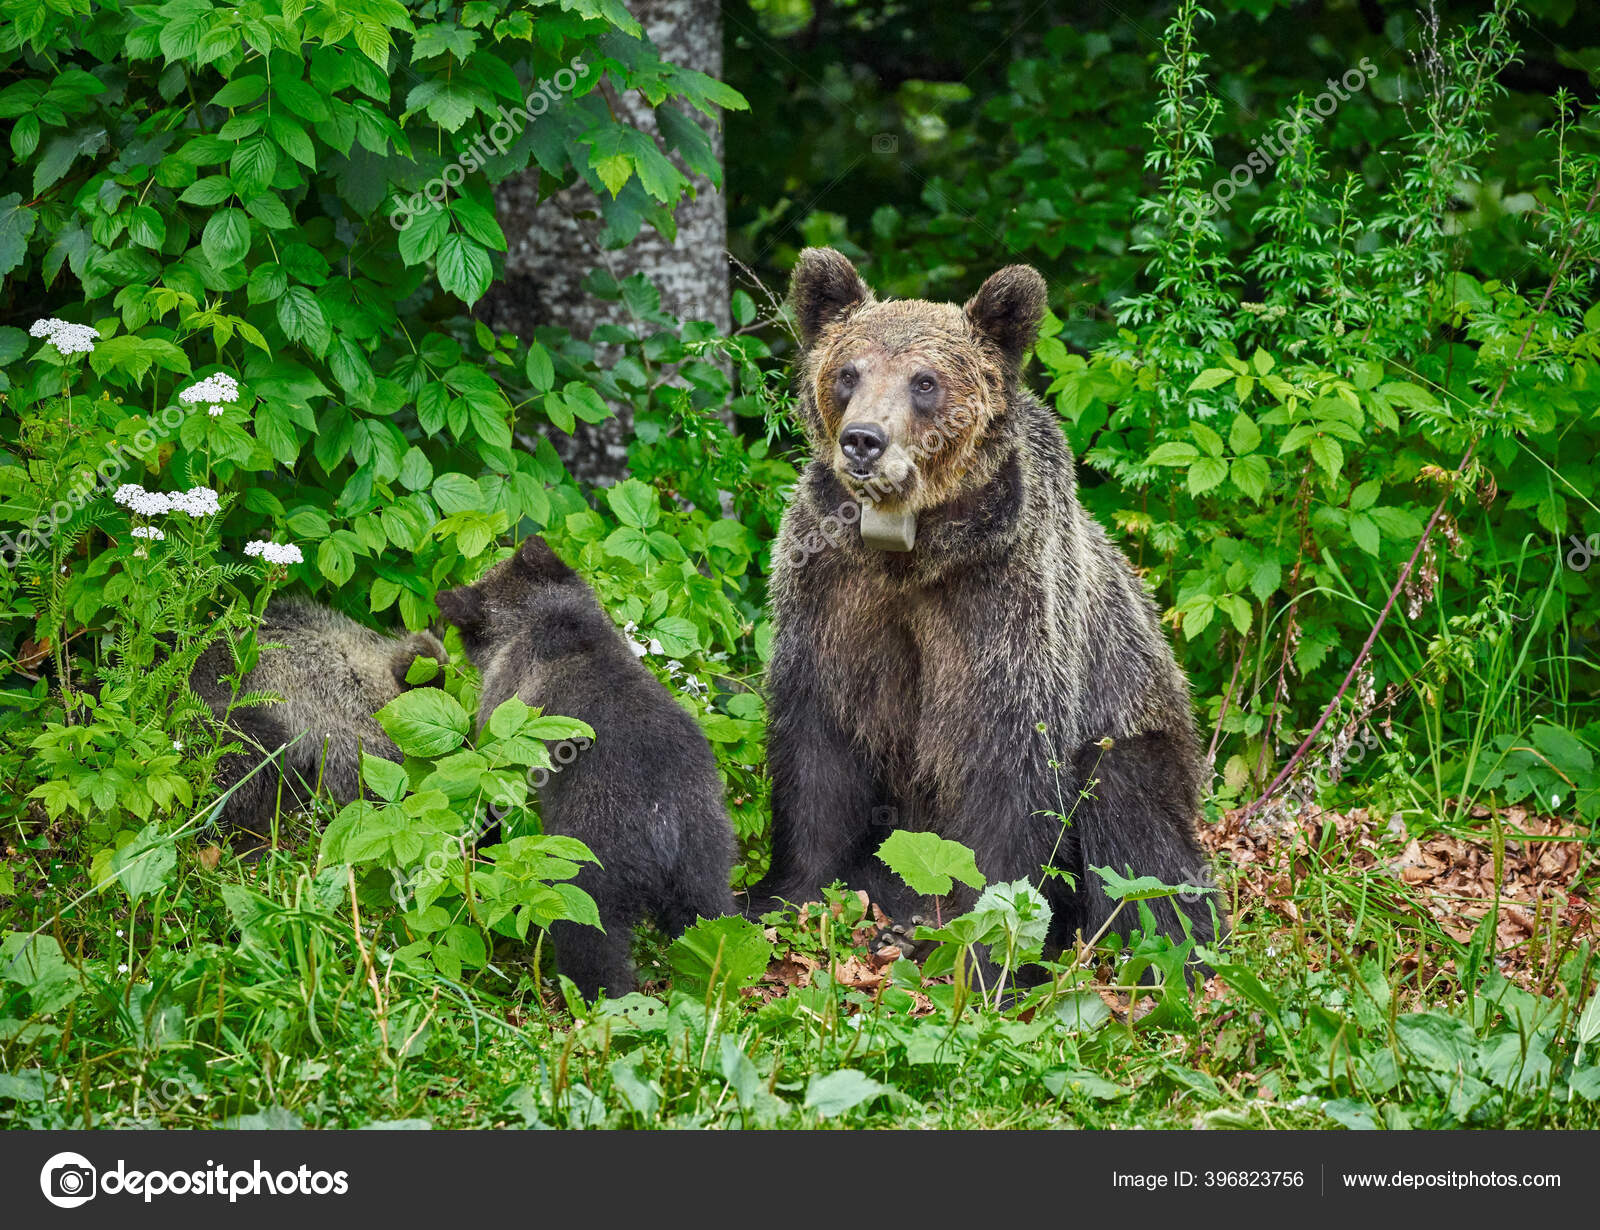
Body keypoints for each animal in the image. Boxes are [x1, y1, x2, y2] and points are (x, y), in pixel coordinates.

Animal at [434, 535, 737, 999]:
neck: (544, 619)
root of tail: (661, 821)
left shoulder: (503, 727)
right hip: (705, 853)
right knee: (711, 919)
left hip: (587, 867)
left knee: (588, 937)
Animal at [746, 248, 1222, 976]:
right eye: (849, 372)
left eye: (925, 381)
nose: (863, 441)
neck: (910, 553)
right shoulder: (831, 591)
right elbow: (819, 747)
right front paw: (780, 895)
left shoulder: (1000, 601)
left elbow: (1006, 766)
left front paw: (986, 946)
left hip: (1140, 726)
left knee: (1136, 830)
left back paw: (1170, 946)